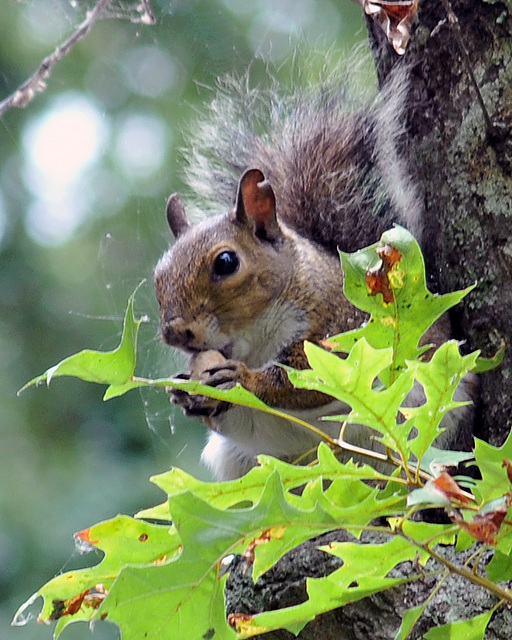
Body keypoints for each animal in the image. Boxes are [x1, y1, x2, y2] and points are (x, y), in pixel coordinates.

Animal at [153, 63, 476, 480]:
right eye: (158, 276)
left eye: (226, 262)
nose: (175, 333)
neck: (254, 341)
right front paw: (185, 392)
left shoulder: (343, 329)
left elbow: (306, 380)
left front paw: (244, 379)